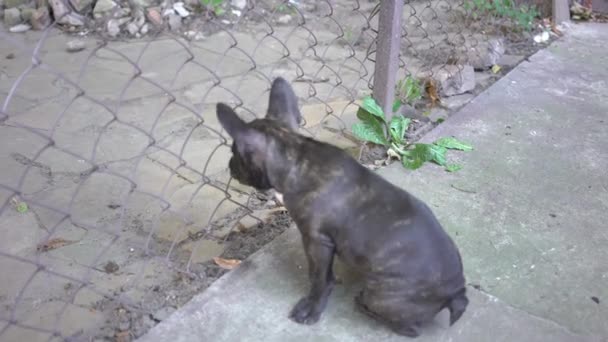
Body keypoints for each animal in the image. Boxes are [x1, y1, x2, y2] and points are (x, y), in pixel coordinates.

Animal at [216, 77, 468, 336]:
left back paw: (365, 307)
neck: (297, 156)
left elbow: (318, 278)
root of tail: (457, 292)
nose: (229, 166)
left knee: (409, 327)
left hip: (382, 296)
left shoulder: (316, 241)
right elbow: (325, 276)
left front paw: (312, 307)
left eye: (235, 153)